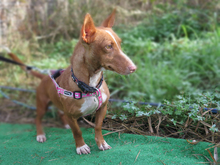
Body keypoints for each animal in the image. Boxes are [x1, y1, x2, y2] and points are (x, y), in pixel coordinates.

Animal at [9, 10, 136, 155]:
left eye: (120, 44)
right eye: (108, 46)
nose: (134, 68)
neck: (90, 85)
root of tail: (45, 77)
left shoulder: (102, 108)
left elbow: (98, 127)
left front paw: (101, 143)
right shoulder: (71, 115)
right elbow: (77, 131)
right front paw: (81, 146)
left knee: (60, 112)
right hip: (42, 105)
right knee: (38, 119)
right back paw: (40, 134)